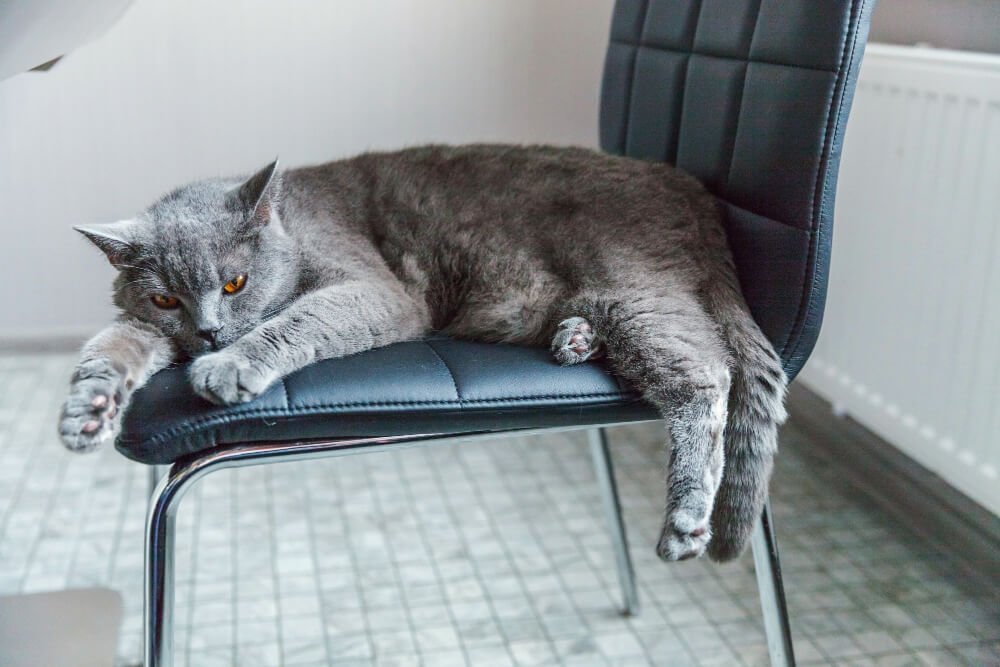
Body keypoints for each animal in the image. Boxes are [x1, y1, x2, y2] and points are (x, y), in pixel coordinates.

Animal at [58, 146, 784, 564]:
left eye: (233, 283)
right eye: (166, 299)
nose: (209, 333)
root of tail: (688, 188)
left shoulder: (377, 290)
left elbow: (299, 317)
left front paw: (230, 365)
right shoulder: (142, 325)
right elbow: (113, 342)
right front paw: (85, 410)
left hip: (631, 283)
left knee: (703, 373)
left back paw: (686, 517)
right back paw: (574, 337)